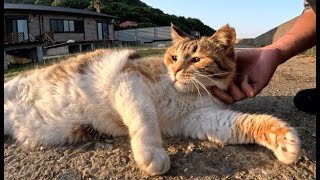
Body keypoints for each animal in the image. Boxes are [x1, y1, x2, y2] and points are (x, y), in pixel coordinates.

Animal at [4, 24, 300, 176]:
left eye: (196, 59)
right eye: (173, 57)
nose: (177, 70)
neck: (184, 93)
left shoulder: (201, 118)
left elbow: (243, 123)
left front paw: (283, 139)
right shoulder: (130, 80)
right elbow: (145, 117)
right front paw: (153, 153)